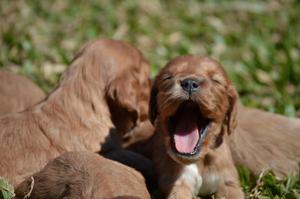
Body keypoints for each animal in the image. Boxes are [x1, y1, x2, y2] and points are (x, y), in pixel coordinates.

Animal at [149, 55, 244, 198]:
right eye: (167, 77)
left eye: (216, 81)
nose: (189, 83)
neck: (199, 160)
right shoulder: (177, 181)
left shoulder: (229, 182)